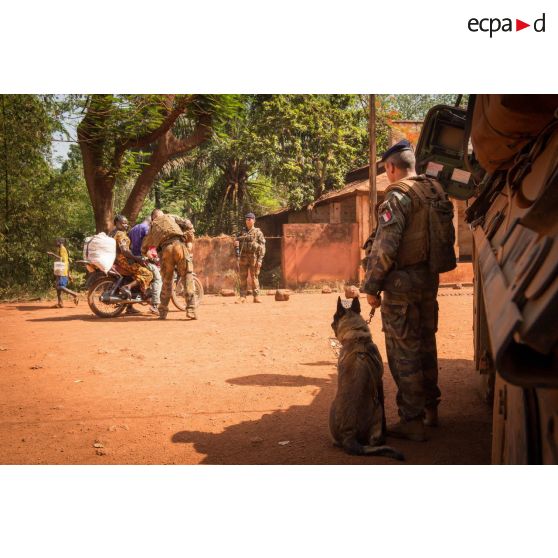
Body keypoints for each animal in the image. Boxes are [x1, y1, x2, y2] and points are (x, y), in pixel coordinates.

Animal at [330, 298, 404, 464]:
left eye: (334, 319)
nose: (331, 323)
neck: (357, 337)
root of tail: (348, 434)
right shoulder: (379, 382)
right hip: (377, 408)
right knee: (374, 441)